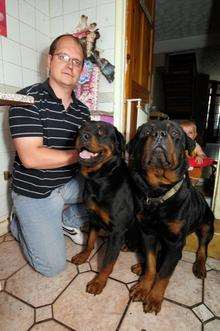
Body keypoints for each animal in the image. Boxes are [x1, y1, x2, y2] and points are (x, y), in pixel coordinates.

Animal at [72, 120, 134, 296]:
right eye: (81, 128)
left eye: (101, 131)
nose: (83, 135)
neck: (100, 179)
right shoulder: (93, 218)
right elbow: (90, 241)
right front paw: (83, 256)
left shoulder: (117, 231)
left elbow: (107, 262)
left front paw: (99, 281)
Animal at [126, 120, 214, 316]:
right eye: (146, 132)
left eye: (175, 133)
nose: (159, 134)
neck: (159, 192)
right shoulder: (148, 234)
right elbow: (152, 265)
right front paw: (144, 287)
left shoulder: (175, 243)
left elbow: (164, 273)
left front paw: (154, 297)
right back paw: (140, 266)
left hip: (207, 225)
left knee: (202, 249)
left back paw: (200, 266)